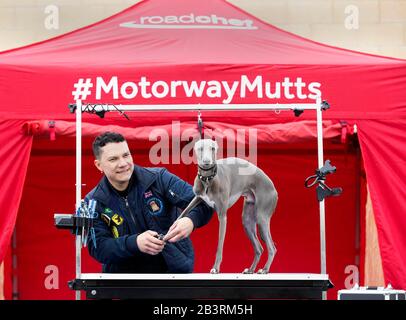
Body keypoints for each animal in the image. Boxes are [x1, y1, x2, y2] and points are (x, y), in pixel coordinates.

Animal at [179, 139, 278, 274]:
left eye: (213, 148)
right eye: (200, 148)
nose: (206, 162)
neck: (207, 179)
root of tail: (273, 187)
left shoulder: (222, 216)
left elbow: (220, 245)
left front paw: (215, 268)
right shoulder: (197, 198)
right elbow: (182, 214)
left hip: (262, 217)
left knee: (272, 247)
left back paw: (264, 269)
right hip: (247, 220)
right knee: (259, 248)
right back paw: (250, 270)